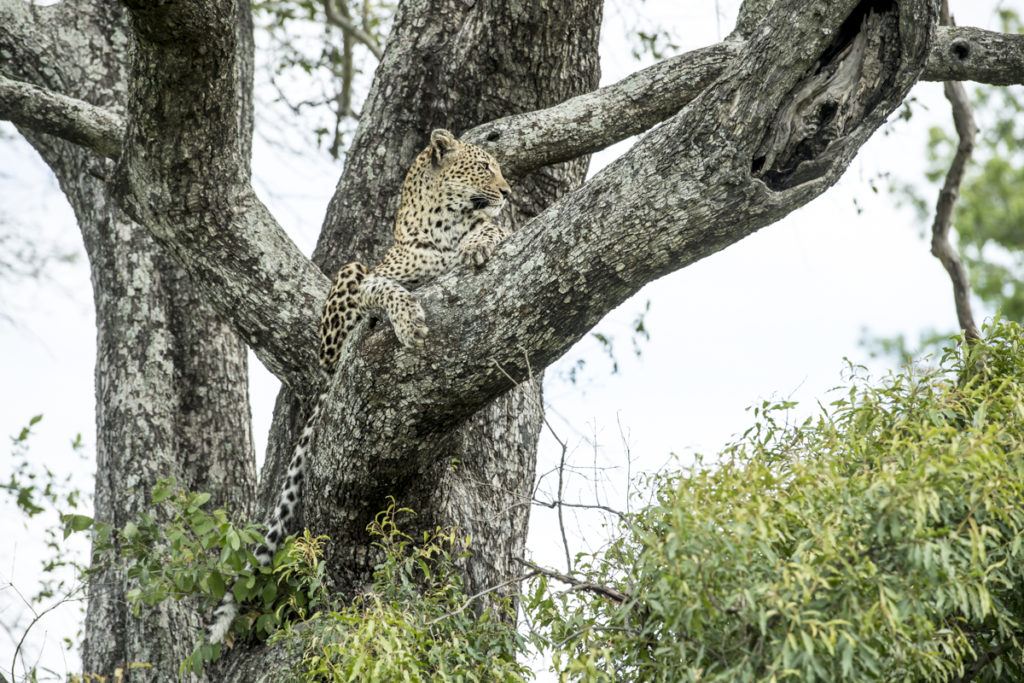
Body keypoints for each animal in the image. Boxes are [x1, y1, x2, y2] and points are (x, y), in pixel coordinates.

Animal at [207, 129, 512, 647]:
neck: (444, 225)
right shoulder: (376, 278)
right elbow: (387, 290)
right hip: (348, 277)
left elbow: (491, 233)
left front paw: (478, 243)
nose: (508, 192)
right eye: (484, 167)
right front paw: (409, 321)